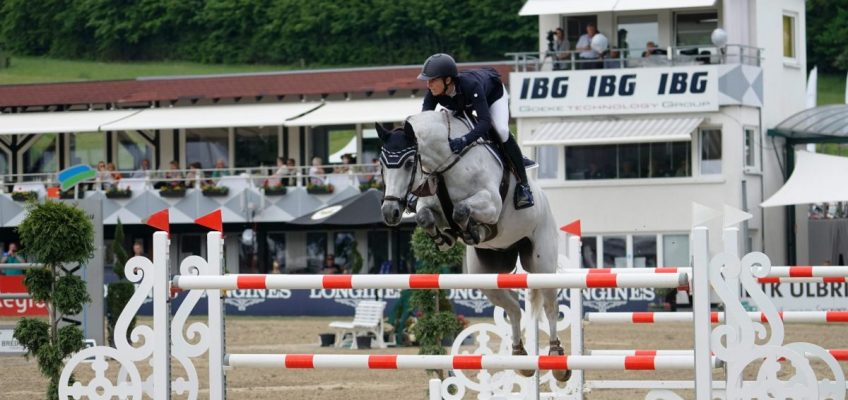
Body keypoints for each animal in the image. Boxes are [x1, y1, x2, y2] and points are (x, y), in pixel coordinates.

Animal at [378, 110, 568, 382]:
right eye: (381, 164)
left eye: (407, 162)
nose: (390, 212)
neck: (445, 165)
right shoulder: (429, 203)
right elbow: (426, 215)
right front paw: (445, 239)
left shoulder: (490, 204)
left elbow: (461, 210)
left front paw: (474, 230)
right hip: (486, 276)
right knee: (513, 307)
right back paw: (520, 358)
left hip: (542, 264)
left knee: (551, 306)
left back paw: (557, 359)